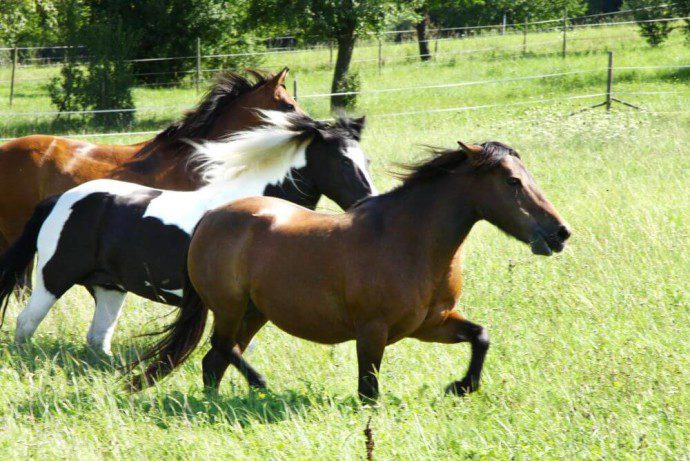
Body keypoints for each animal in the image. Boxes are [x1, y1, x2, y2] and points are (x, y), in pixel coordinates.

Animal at [0, 112, 374, 356]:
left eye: (366, 160)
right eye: (343, 162)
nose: (366, 202)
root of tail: (59, 200)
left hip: (109, 288)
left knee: (97, 337)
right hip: (53, 278)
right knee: (25, 323)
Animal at [129, 140, 568, 398]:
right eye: (512, 182)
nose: (560, 233)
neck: (410, 241)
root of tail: (210, 218)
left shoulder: (430, 324)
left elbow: (481, 337)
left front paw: (461, 386)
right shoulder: (372, 332)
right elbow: (367, 391)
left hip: (255, 313)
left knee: (214, 361)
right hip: (229, 307)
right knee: (221, 347)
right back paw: (259, 384)